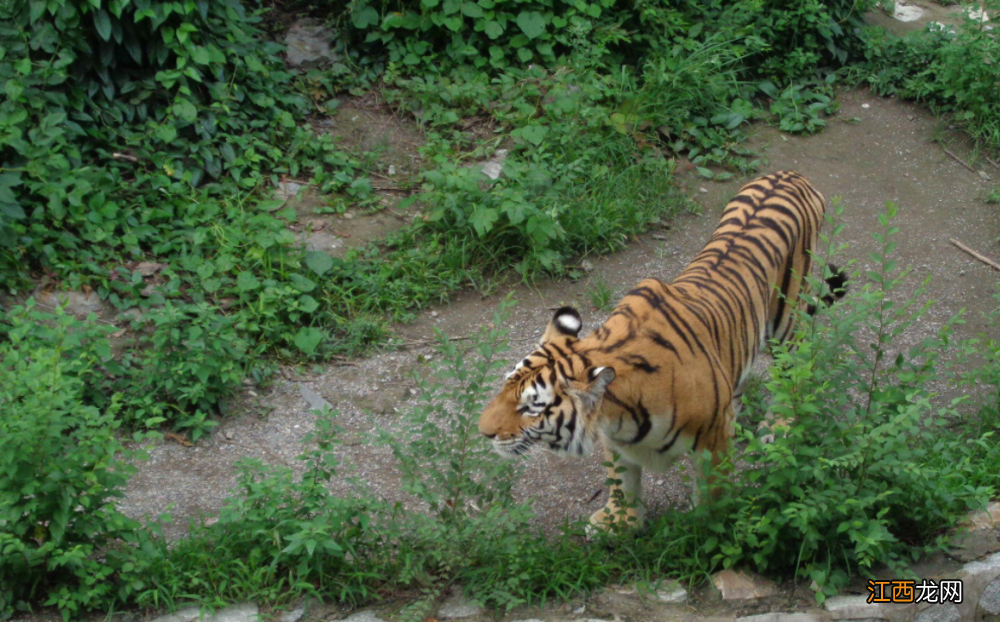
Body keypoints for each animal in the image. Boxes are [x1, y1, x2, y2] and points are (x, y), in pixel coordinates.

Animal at [476, 171, 844, 532]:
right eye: (505, 387)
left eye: (531, 408)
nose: (483, 432)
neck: (618, 414)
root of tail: (793, 175)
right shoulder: (616, 440)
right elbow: (622, 482)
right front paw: (620, 522)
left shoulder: (712, 443)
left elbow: (713, 497)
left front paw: (702, 529)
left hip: (787, 321)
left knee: (795, 369)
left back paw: (779, 426)